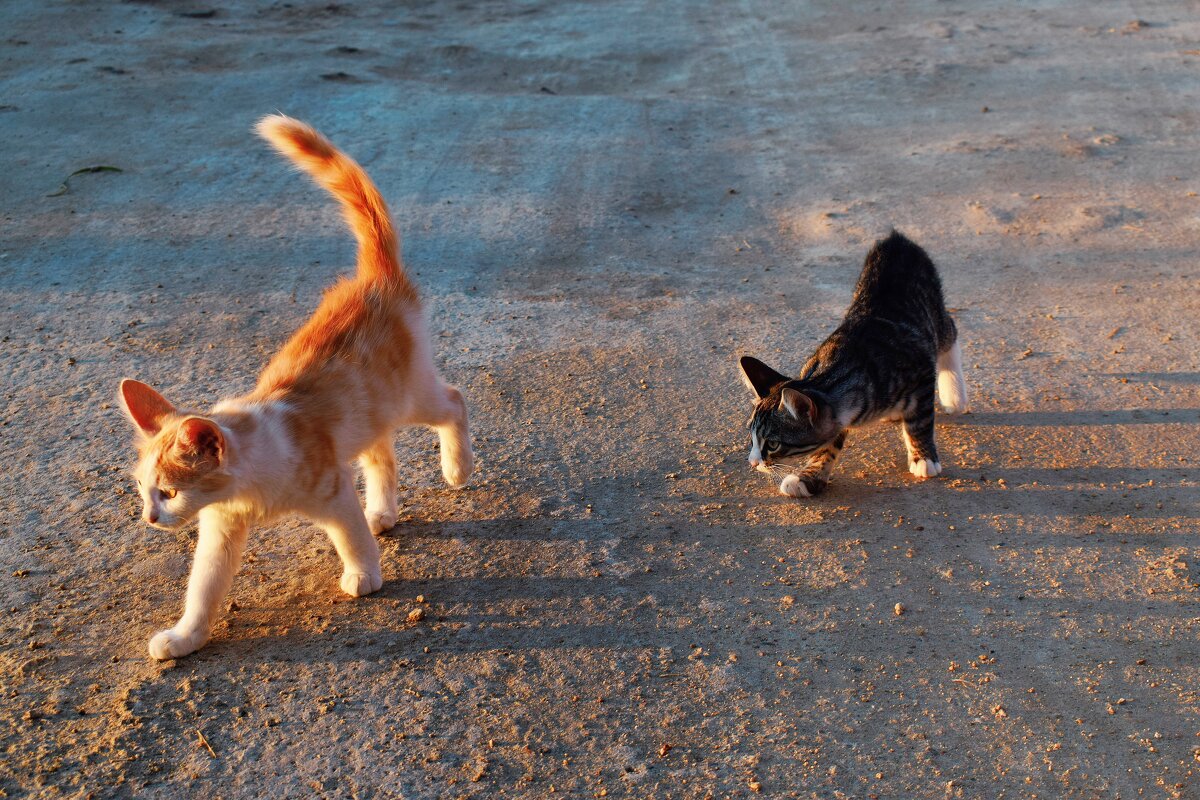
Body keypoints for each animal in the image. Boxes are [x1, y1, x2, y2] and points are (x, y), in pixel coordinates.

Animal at [118, 113, 472, 662]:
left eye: (169, 492)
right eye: (141, 490)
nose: (150, 519)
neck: (252, 479)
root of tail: (374, 279)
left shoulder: (331, 487)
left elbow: (349, 535)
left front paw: (363, 573)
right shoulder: (221, 528)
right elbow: (203, 587)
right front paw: (185, 637)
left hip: (410, 394)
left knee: (453, 402)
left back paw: (456, 468)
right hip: (367, 413)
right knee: (381, 455)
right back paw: (382, 510)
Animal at [734, 227, 969, 496]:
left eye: (772, 444)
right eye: (752, 437)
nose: (753, 462)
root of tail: (896, 239)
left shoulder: (921, 372)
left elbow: (920, 420)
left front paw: (924, 458)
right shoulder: (838, 413)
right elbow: (827, 445)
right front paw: (808, 478)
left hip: (933, 317)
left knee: (950, 330)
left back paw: (955, 396)